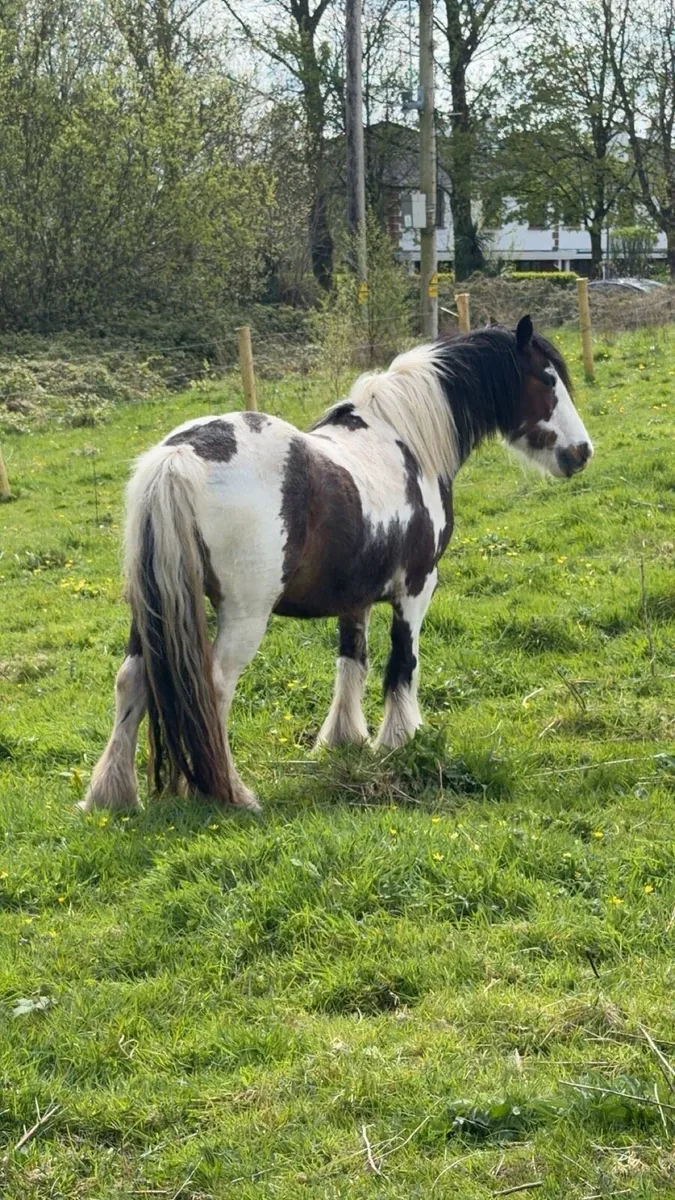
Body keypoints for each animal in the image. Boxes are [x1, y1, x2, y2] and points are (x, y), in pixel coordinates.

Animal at [80, 316, 593, 816]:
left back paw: (111, 795)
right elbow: (402, 664)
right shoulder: (417, 588)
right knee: (215, 686)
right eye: (547, 380)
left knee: (131, 681)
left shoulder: (355, 595)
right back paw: (232, 793)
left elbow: (352, 661)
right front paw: (399, 741)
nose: (582, 451)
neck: (406, 440)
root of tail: (180, 455)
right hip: (244, 614)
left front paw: (343, 739)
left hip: (151, 606)